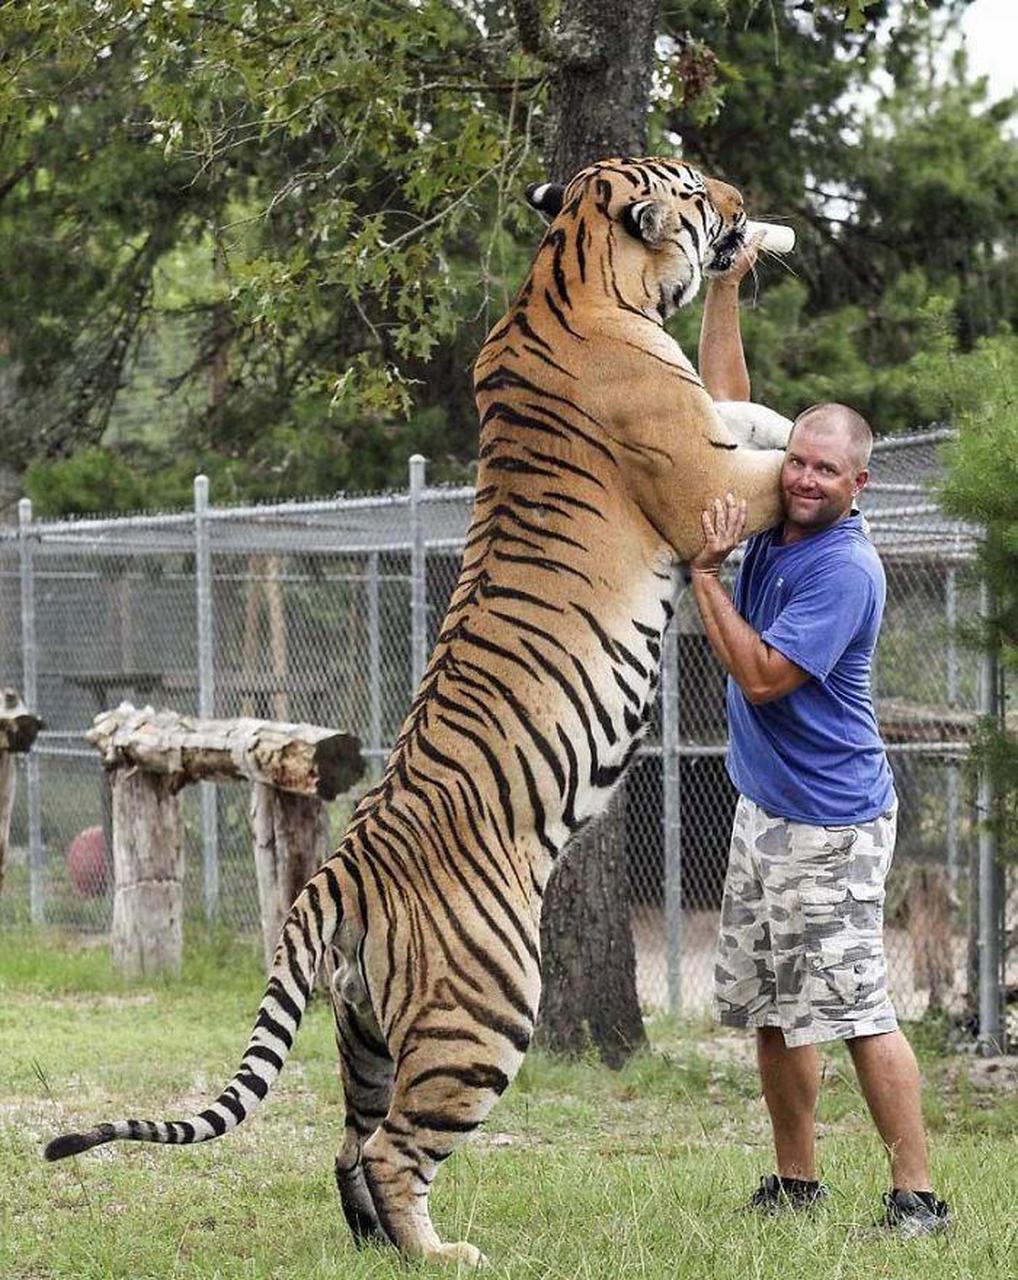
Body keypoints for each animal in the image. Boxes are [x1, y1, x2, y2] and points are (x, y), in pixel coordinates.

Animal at [44, 157, 792, 1266]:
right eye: (698, 187)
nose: (744, 204)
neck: (572, 272)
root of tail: (334, 875)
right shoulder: (702, 479)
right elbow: (773, 464)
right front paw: (842, 449)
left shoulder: (710, 428)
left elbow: (754, 417)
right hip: (484, 1015)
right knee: (397, 1149)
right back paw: (441, 1254)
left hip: (365, 1033)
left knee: (350, 1140)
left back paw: (376, 1249)